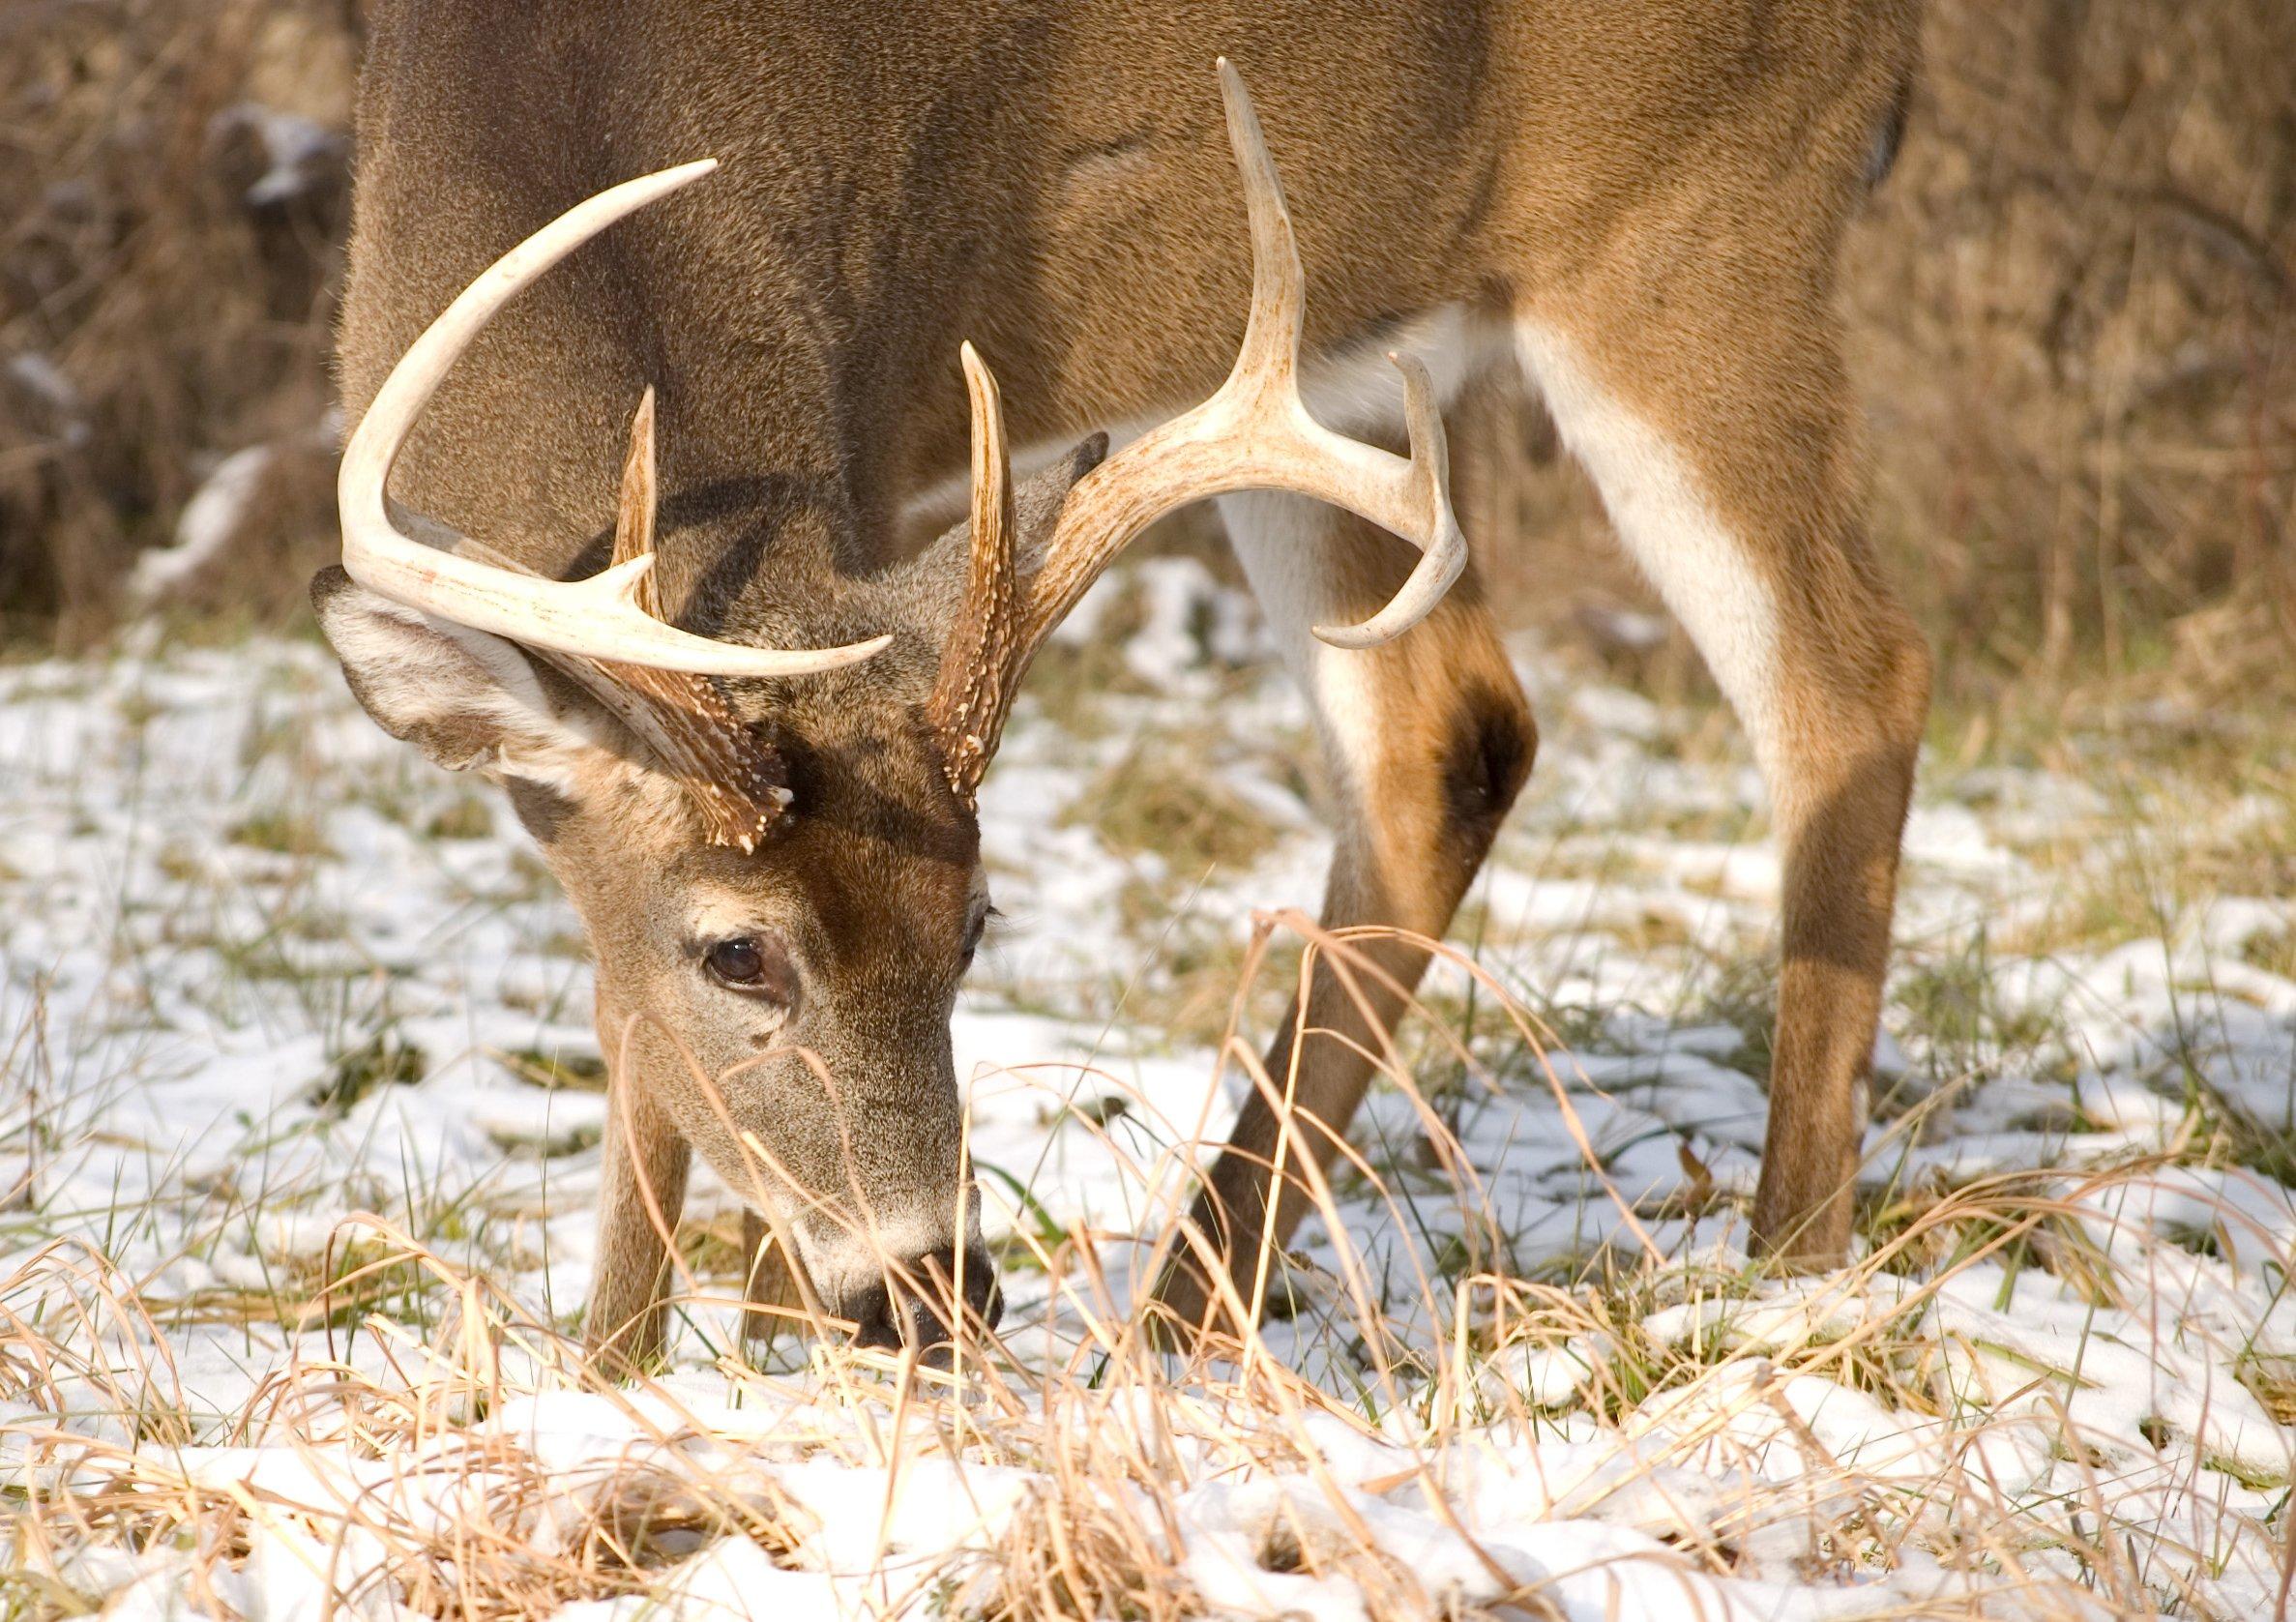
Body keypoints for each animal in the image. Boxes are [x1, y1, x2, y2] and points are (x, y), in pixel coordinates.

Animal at [318, 1, 1930, 1368]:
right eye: (737, 953)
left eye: (975, 926)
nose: (932, 1294)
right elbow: (629, 1032)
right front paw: (632, 1372)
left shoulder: (881, 435)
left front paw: (716, 1367)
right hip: (1342, 376)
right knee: (1446, 737)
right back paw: (1180, 1322)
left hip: (1696, 226)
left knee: (1848, 679)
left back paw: (1785, 1266)